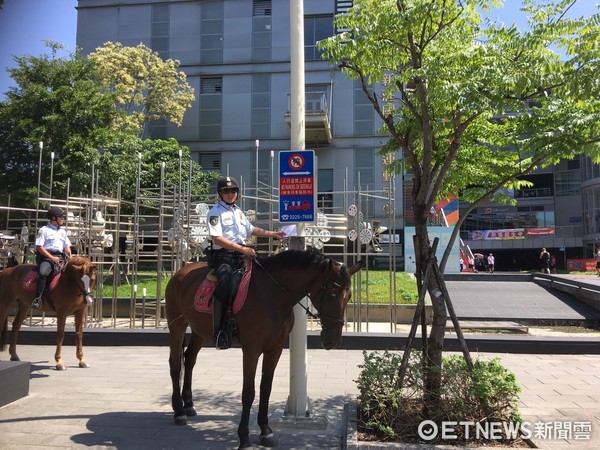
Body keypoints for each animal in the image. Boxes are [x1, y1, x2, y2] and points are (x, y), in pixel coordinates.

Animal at [165, 250, 360, 450]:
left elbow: (266, 388)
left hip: (198, 330)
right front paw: (244, 438)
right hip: (177, 326)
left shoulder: (274, 349)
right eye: (332, 295)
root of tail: (180, 273)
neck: (273, 296)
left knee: (189, 359)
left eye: (349, 297)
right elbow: (248, 393)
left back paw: (189, 405)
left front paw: (266, 431)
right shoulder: (251, 350)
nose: (332, 341)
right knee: (175, 364)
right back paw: (179, 411)